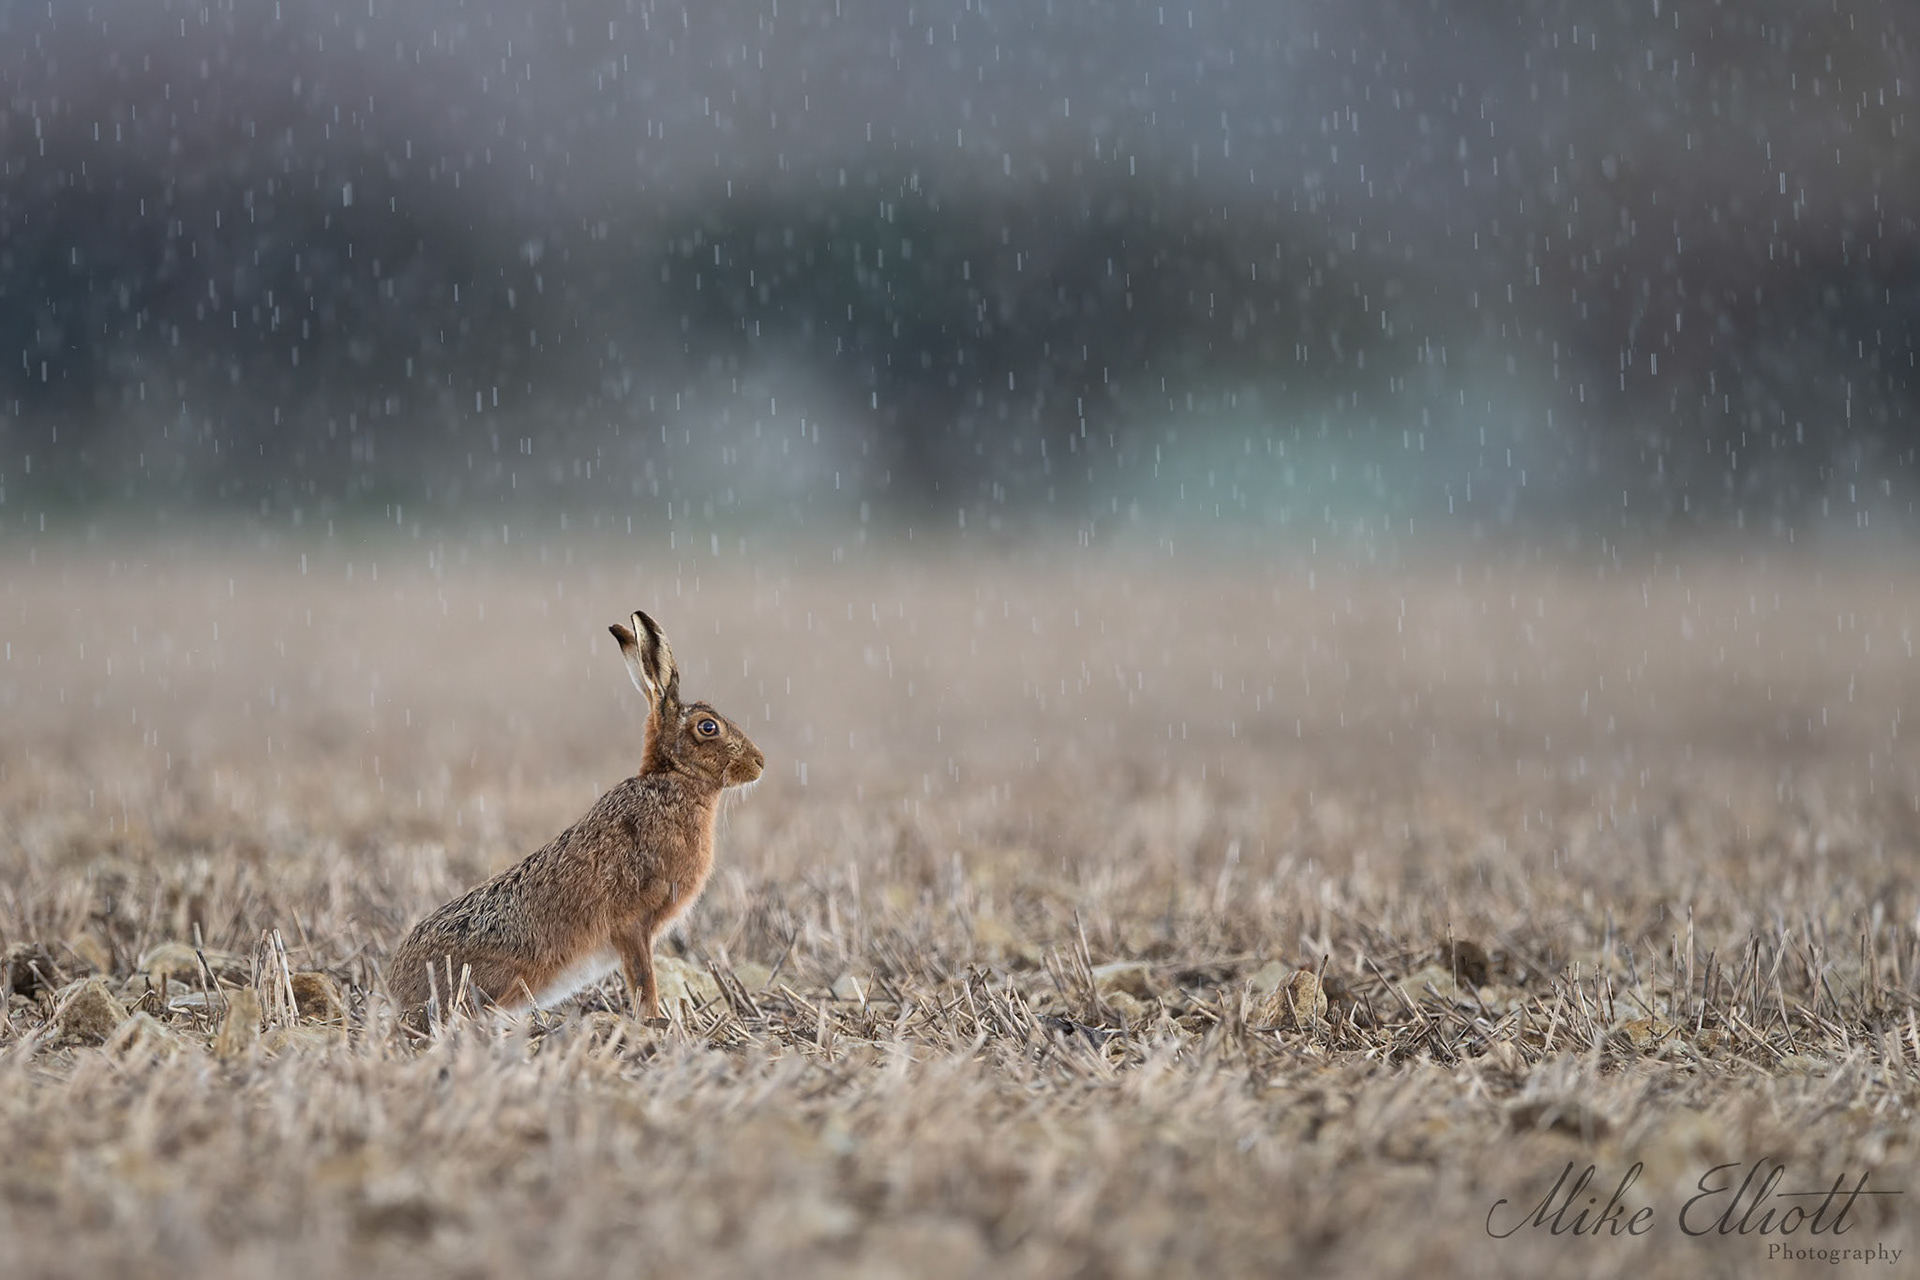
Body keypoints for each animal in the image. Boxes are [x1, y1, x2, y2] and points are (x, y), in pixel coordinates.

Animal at [388, 609, 764, 1033]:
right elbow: (643, 976)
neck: (673, 779)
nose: (759, 762)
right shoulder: (631, 923)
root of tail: (394, 988)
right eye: (707, 727)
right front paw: (654, 1021)